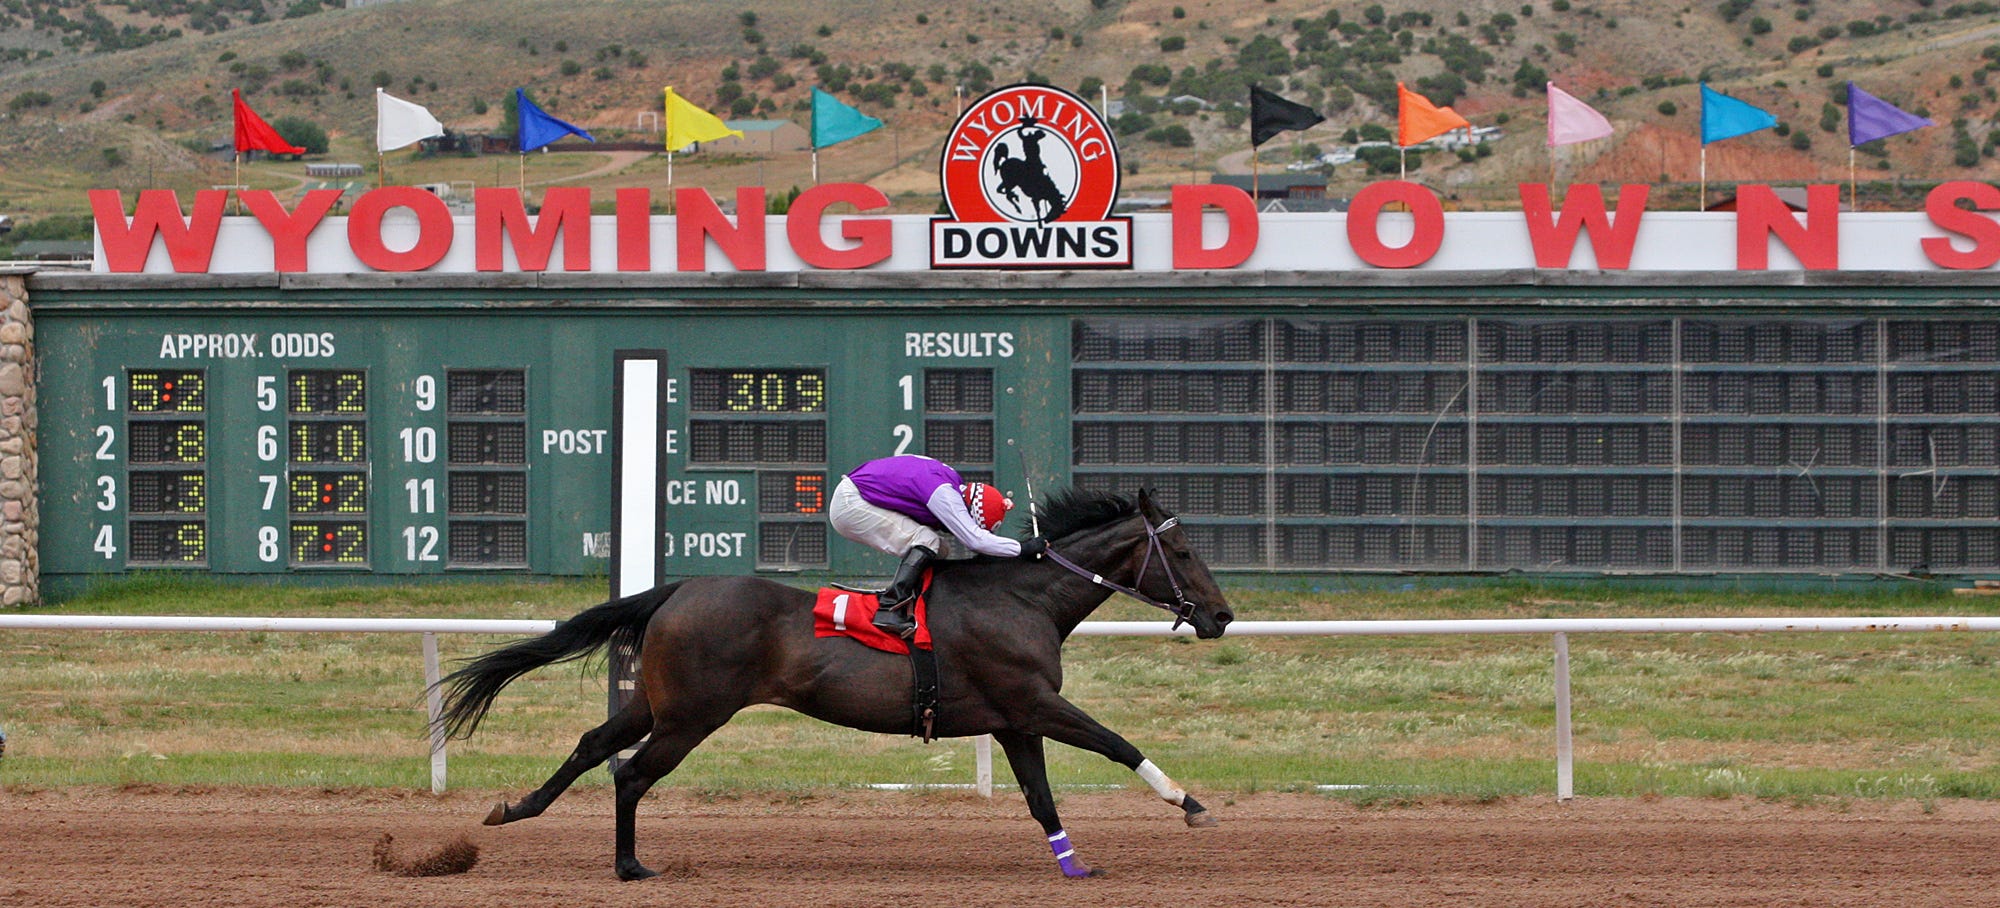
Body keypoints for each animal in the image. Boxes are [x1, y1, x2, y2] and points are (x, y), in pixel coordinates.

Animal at [434, 487, 1234, 881]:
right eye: (1183, 553)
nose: (1222, 616)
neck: (1022, 597)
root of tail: (679, 588)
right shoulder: (1035, 703)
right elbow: (1116, 743)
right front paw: (1192, 805)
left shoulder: (1013, 720)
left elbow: (1041, 800)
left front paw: (1076, 867)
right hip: (691, 714)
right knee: (630, 774)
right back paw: (630, 866)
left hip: (656, 703)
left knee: (592, 745)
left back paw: (516, 810)